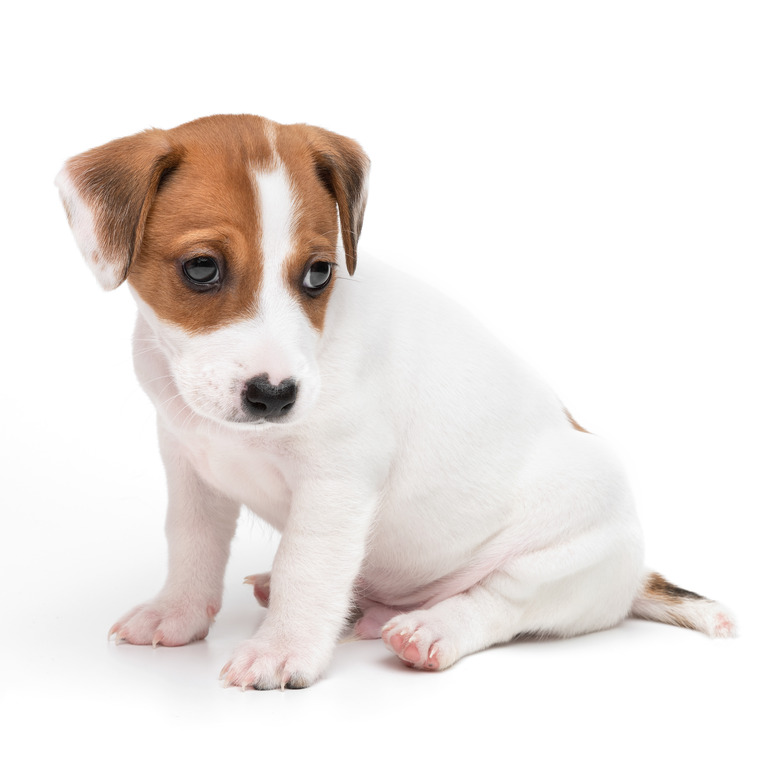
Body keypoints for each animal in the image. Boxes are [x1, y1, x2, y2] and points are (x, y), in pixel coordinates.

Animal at [56, 114, 736, 688]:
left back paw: (429, 629)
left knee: (497, 604)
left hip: (557, 558)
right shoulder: (190, 464)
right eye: (201, 269)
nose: (275, 395)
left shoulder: (335, 484)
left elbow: (308, 564)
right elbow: (191, 544)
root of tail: (634, 575)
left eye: (319, 273)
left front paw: (283, 650)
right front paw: (176, 613)